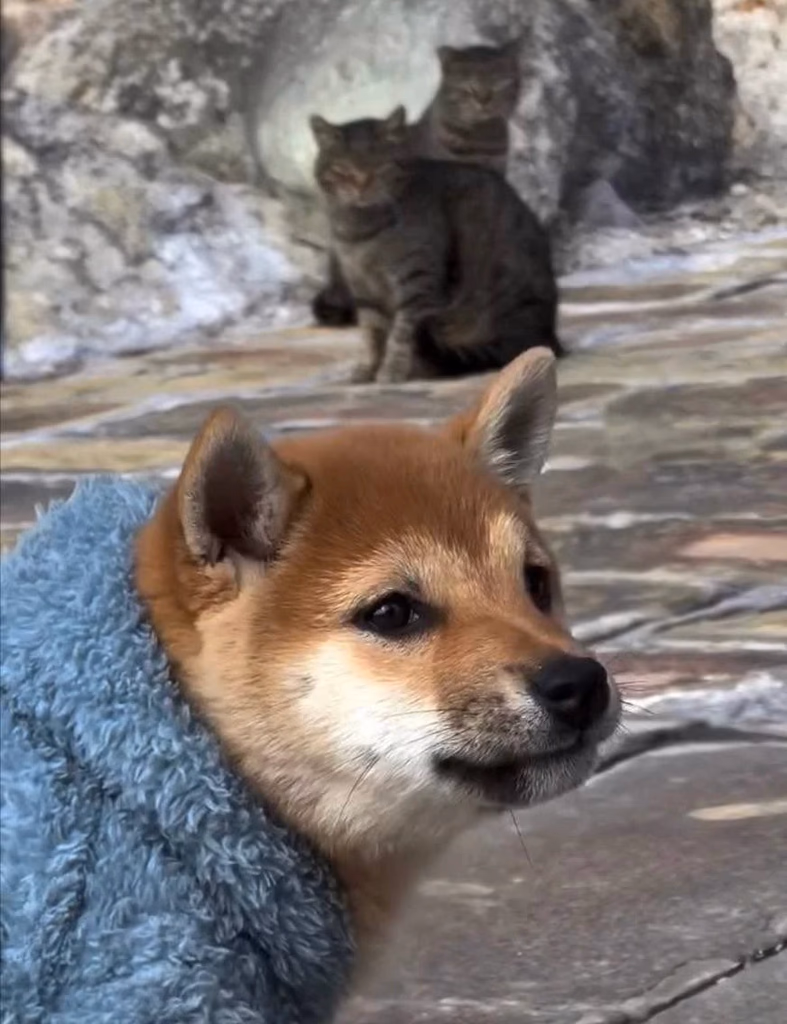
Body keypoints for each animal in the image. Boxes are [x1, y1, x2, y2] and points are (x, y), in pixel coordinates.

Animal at [310, 107, 561, 384]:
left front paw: (391, 370)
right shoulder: (363, 289)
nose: (361, 188)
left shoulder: (417, 283)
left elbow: (400, 335)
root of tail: (548, 335)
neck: (361, 231)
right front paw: (368, 369)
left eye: (379, 166)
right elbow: (371, 334)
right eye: (342, 170)